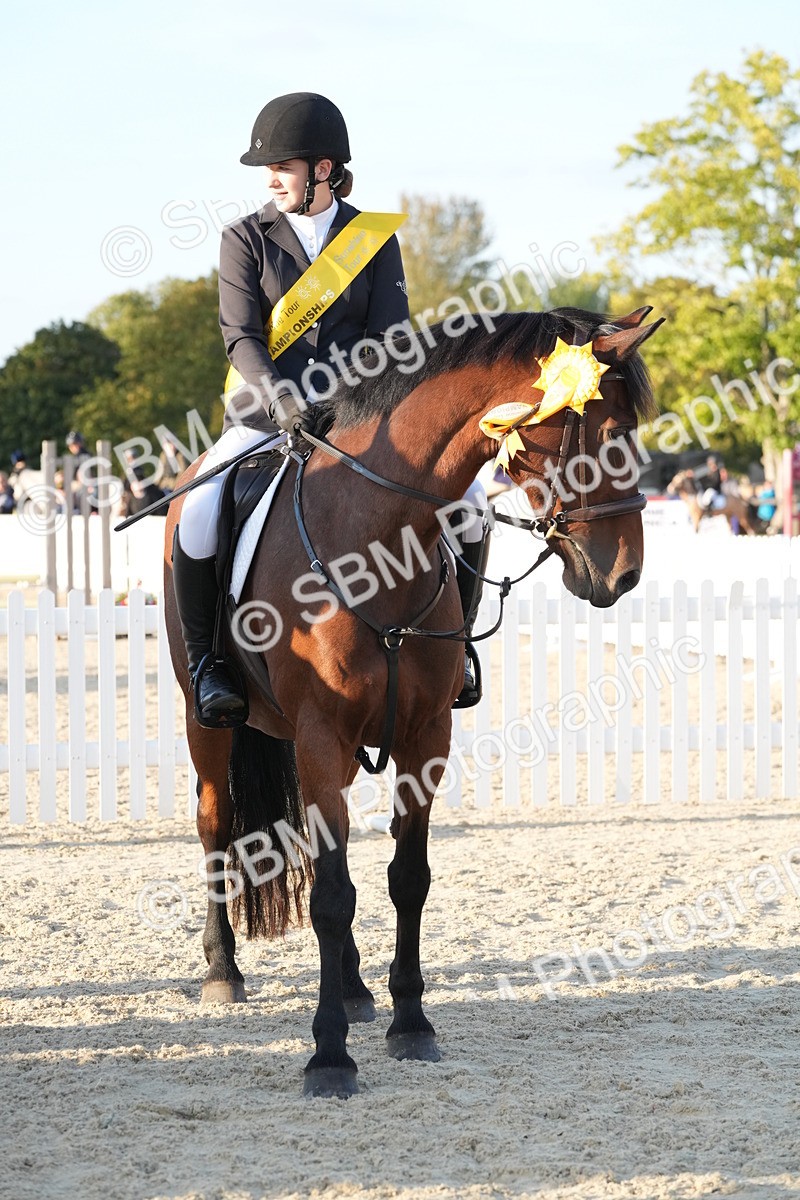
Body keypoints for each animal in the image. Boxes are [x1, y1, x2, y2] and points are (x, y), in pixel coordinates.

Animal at [163, 304, 661, 1098]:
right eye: (605, 430)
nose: (623, 573)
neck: (373, 534)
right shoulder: (320, 734)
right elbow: (332, 896)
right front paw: (328, 1056)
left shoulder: (423, 737)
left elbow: (407, 879)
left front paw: (410, 1023)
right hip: (205, 721)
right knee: (215, 827)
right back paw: (223, 970)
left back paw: (356, 989)